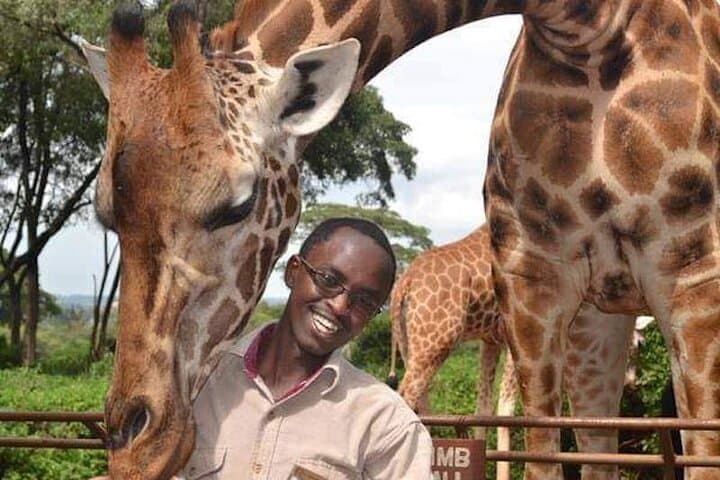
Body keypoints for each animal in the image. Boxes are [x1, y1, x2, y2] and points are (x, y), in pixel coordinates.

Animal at [80, 1, 720, 478]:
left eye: (237, 204)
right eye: (105, 212)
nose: (135, 447)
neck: (588, 28)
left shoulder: (693, 274)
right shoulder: (537, 284)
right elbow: (539, 442)